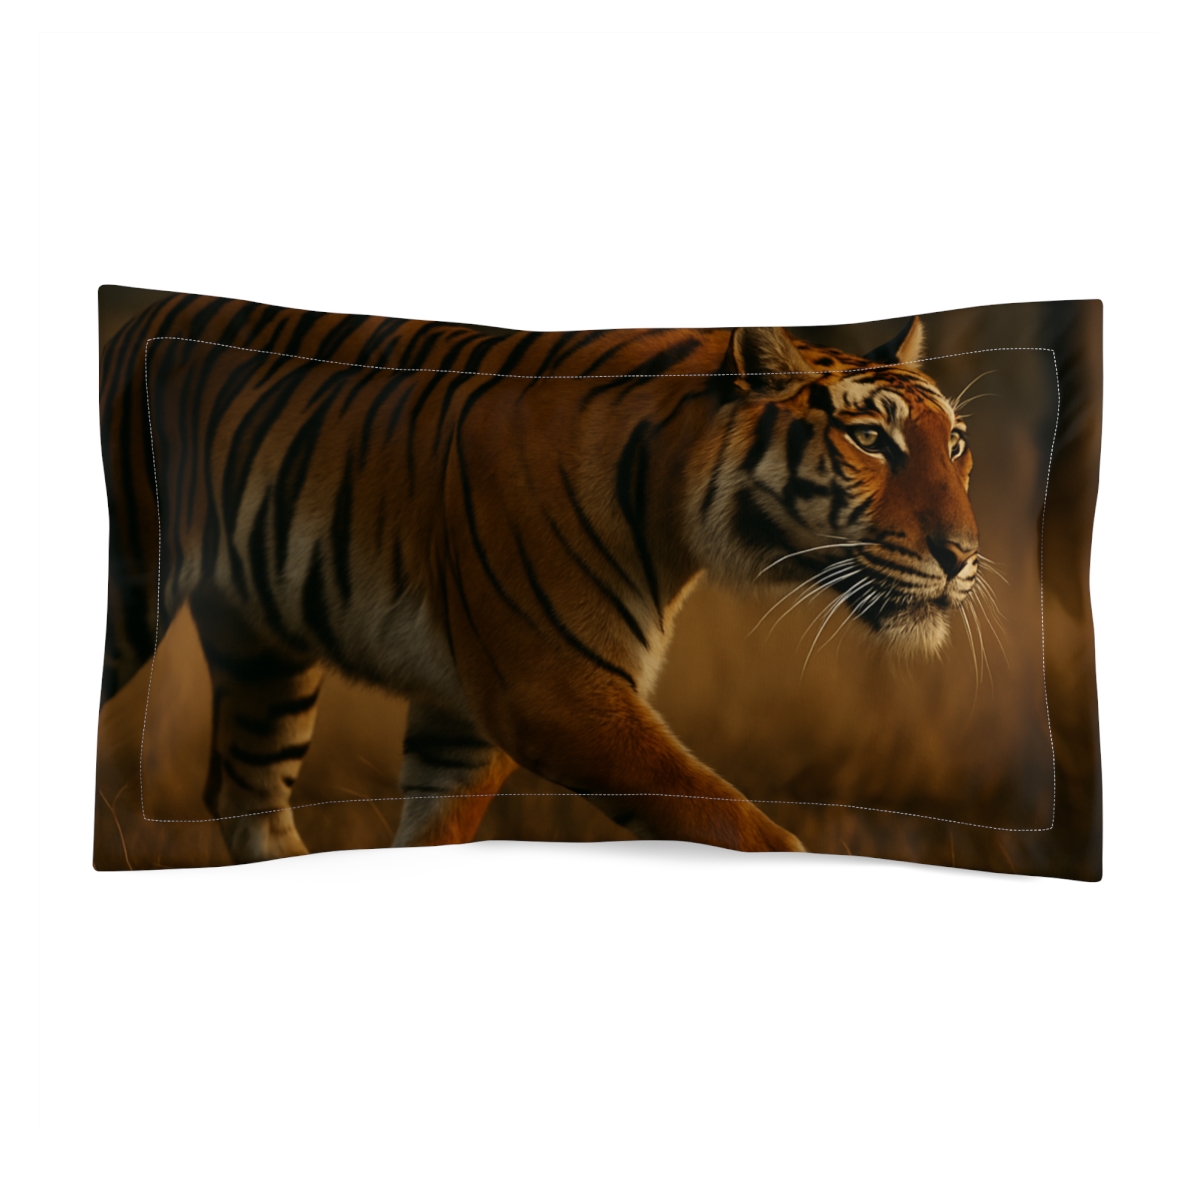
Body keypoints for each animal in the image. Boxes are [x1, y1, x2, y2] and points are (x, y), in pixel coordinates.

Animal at [99, 291, 979, 863]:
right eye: (870, 439)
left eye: (956, 445)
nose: (965, 556)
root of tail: (137, 316)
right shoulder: (554, 694)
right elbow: (738, 826)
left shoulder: (463, 715)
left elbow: (435, 832)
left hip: (265, 646)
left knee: (245, 790)